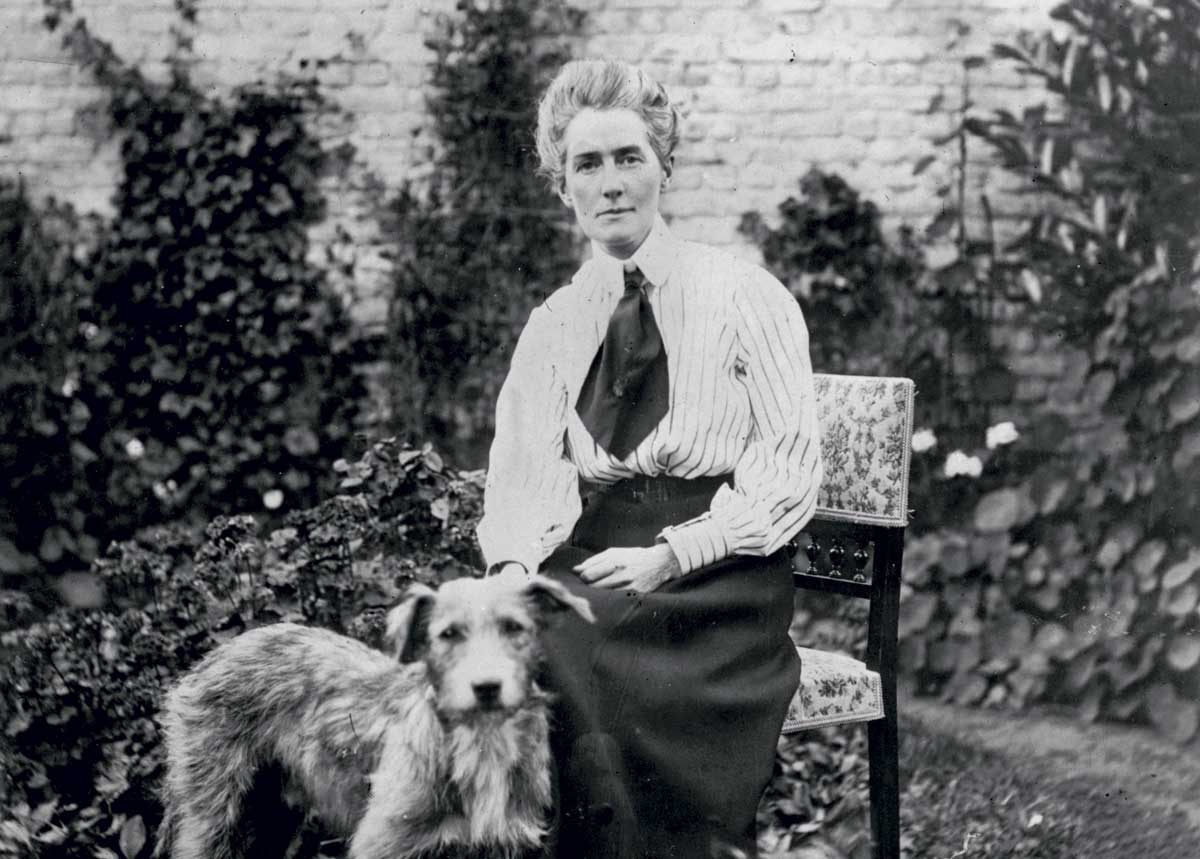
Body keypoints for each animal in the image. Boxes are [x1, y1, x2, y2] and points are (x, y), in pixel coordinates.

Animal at [154, 571, 595, 858]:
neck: (480, 741)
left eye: (513, 627)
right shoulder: (383, 844)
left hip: (270, 814)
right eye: (448, 634)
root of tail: (216, 656)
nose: (486, 687)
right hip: (214, 815)